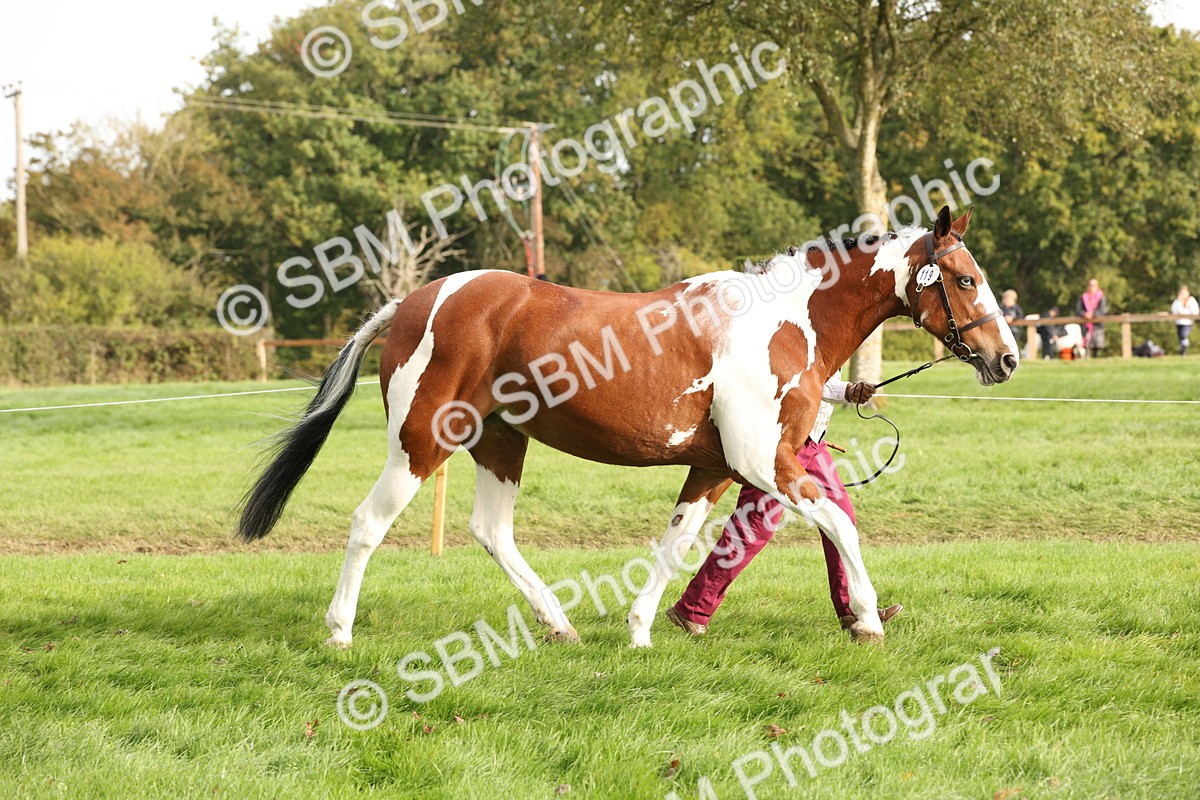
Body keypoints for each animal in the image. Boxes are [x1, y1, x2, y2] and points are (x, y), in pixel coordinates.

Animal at [237, 205, 1018, 648]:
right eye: (966, 279)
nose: (1006, 358)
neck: (784, 321)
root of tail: (410, 302)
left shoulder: (715, 468)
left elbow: (677, 544)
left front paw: (643, 629)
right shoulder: (765, 463)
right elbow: (839, 523)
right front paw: (869, 619)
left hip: (500, 442)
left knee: (492, 531)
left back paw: (560, 625)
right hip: (422, 442)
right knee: (368, 523)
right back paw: (340, 632)